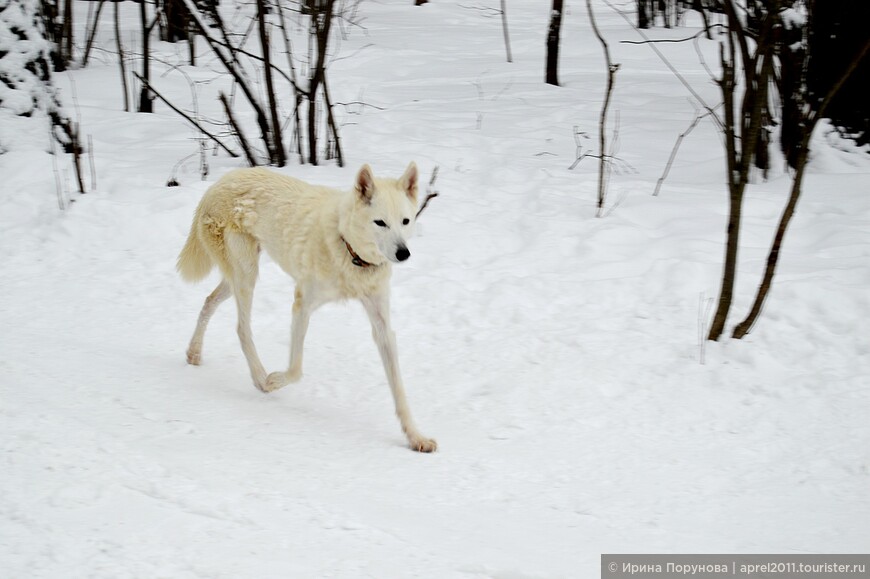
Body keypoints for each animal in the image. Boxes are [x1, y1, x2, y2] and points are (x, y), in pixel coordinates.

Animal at [177, 163, 436, 454]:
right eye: (380, 222)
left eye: (405, 221)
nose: (404, 253)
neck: (347, 247)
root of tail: (218, 183)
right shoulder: (302, 304)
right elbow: (296, 369)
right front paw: (273, 381)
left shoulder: (382, 326)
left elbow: (399, 390)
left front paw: (415, 437)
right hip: (246, 274)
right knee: (242, 328)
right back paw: (260, 378)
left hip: (237, 277)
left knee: (208, 301)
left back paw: (194, 352)